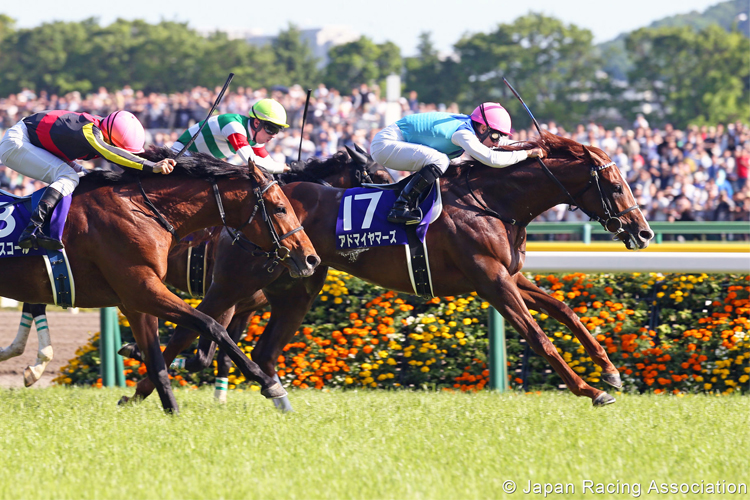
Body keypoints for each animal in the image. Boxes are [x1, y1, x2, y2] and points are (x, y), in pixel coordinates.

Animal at [123, 133, 652, 406]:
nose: (643, 233)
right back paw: (141, 388)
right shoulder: (490, 278)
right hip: (240, 277)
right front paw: (590, 389)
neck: (492, 202)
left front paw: (610, 373)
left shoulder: (510, 274)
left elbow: (565, 310)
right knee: (194, 323)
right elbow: (538, 335)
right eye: (614, 183)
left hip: (298, 284)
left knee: (259, 346)